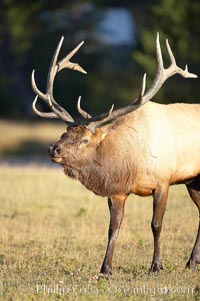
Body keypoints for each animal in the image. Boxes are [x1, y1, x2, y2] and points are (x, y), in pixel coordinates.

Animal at [31, 32, 200, 274]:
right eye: (64, 133)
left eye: (84, 140)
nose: (53, 148)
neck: (130, 164)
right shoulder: (117, 192)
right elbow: (113, 227)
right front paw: (105, 268)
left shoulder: (163, 181)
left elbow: (156, 224)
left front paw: (156, 266)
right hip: (193, 180)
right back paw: (192, 261)